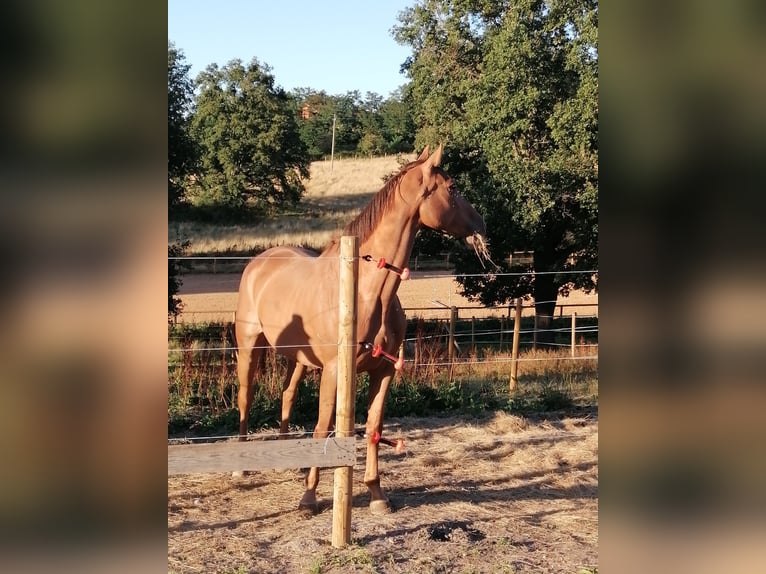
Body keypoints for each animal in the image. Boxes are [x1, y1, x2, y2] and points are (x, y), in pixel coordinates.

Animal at [236, 146, 486, 516]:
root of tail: (259, 262)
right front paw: (309, 498)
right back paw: (239, 466)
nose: (482, 225)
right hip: (250, 346)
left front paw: (376, 494)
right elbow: (323, 427)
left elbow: (372, 428)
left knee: (287, 395)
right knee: (246, 396)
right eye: (452, 188)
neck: (368, 292)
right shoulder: (334, 371)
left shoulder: (382, 372)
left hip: (298, 359)